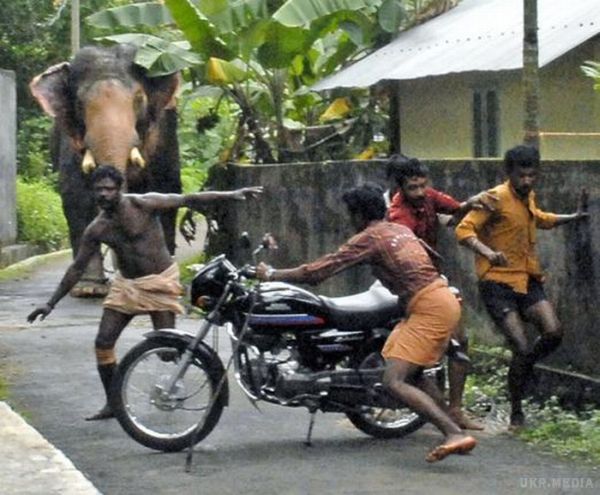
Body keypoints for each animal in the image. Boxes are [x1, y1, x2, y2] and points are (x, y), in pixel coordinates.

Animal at [30, 42, 180, 296]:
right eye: (79, 104)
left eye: (139, 99)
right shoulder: (71, 140)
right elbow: (77, 196)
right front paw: (88, 288)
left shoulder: (164, 134)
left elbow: (165, 191)